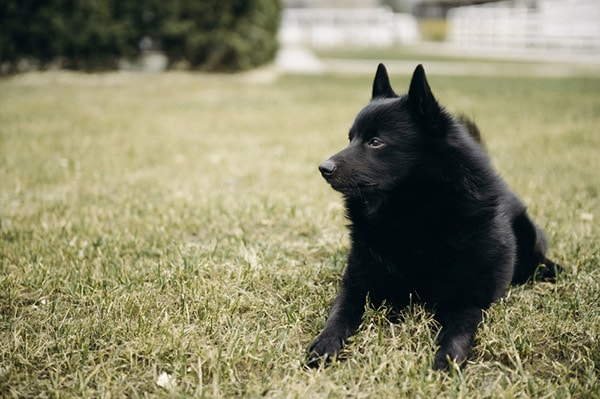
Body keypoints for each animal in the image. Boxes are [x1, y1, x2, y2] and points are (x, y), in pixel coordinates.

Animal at [310, 63, 564, 372]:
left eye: (375, 142)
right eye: (351, 138)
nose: (324, 167)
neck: (410, 215)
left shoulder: (468, 300)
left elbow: (458, 331)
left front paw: (447, 360)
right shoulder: (357, 285)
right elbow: (339, 314)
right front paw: (325, 343)